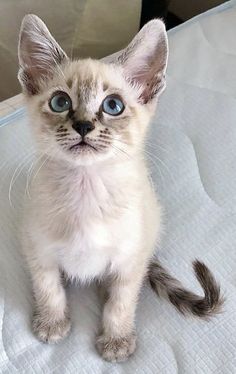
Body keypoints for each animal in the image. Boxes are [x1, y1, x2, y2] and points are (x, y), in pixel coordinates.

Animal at [18, 14, 223, 362]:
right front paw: (52, 323)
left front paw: (116, 340)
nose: (83, 125)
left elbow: (121, 302)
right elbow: (48, 288)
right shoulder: (37, 247)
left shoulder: (130, 259)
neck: (86, 188)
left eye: (113, 105)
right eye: (60, 102)